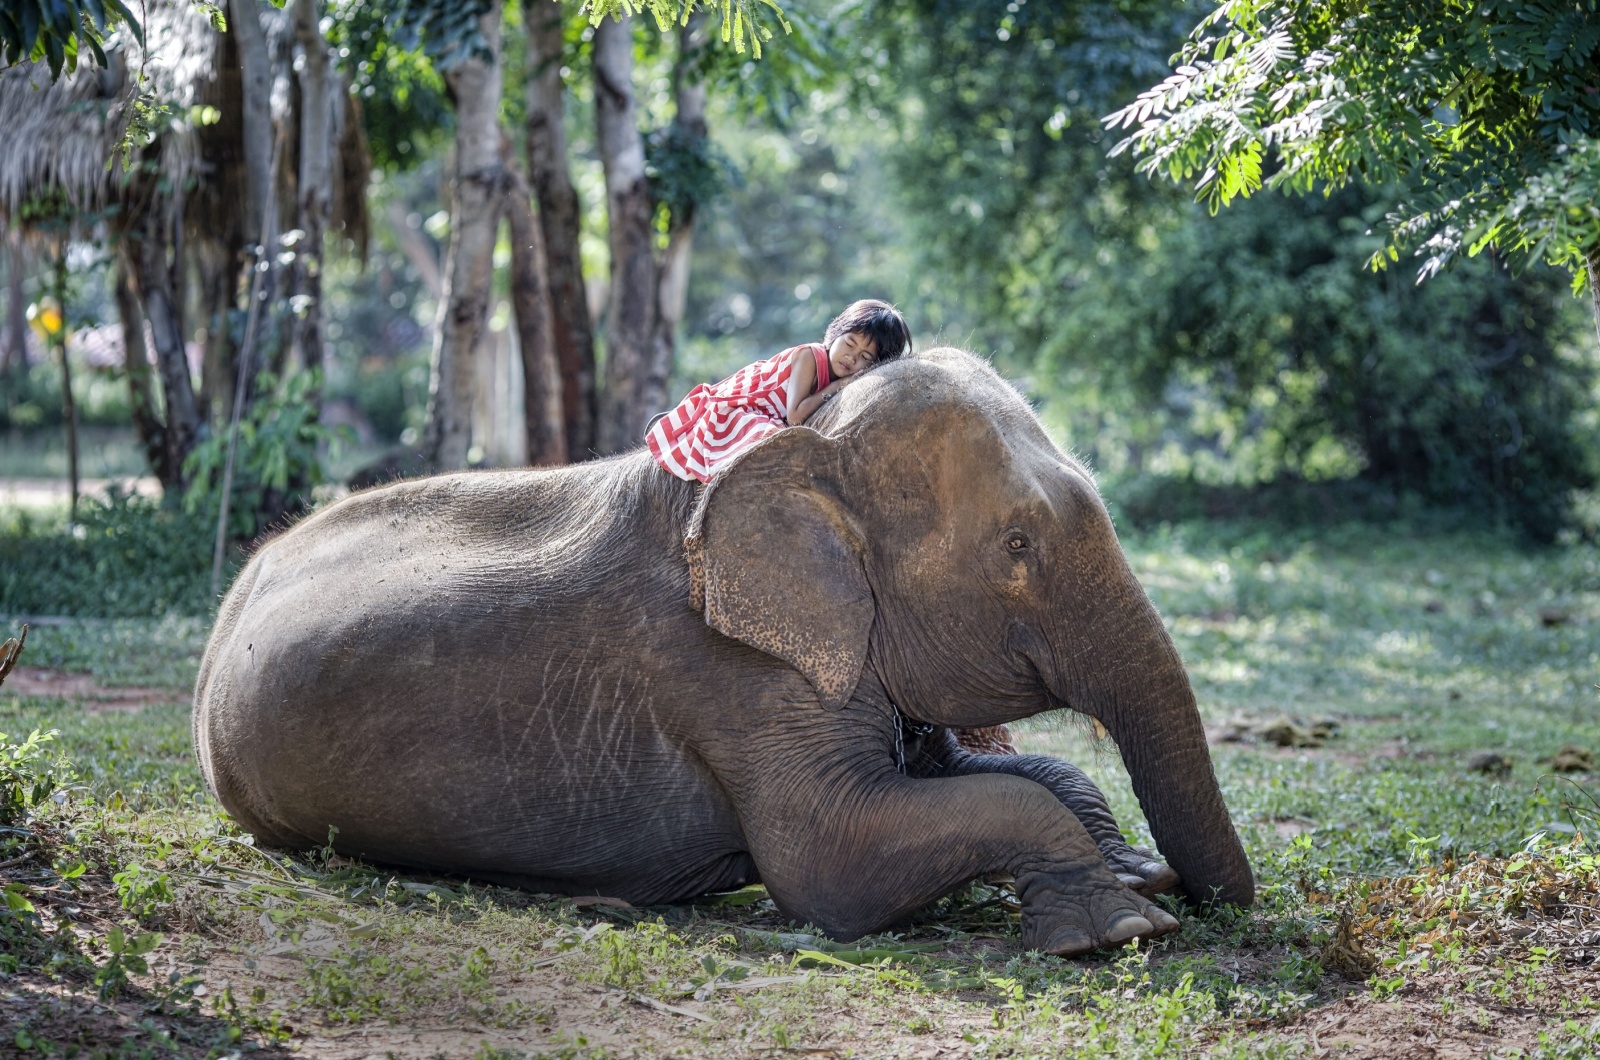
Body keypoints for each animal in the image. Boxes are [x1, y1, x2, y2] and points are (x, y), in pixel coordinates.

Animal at [196, 347, 1248, 954]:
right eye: (1018, 547)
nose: (1216, 903)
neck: (804, 442)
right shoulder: (730, 676)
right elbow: (828, 863)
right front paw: (1122, 926)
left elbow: (1004, 775)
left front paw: (1133, 874)